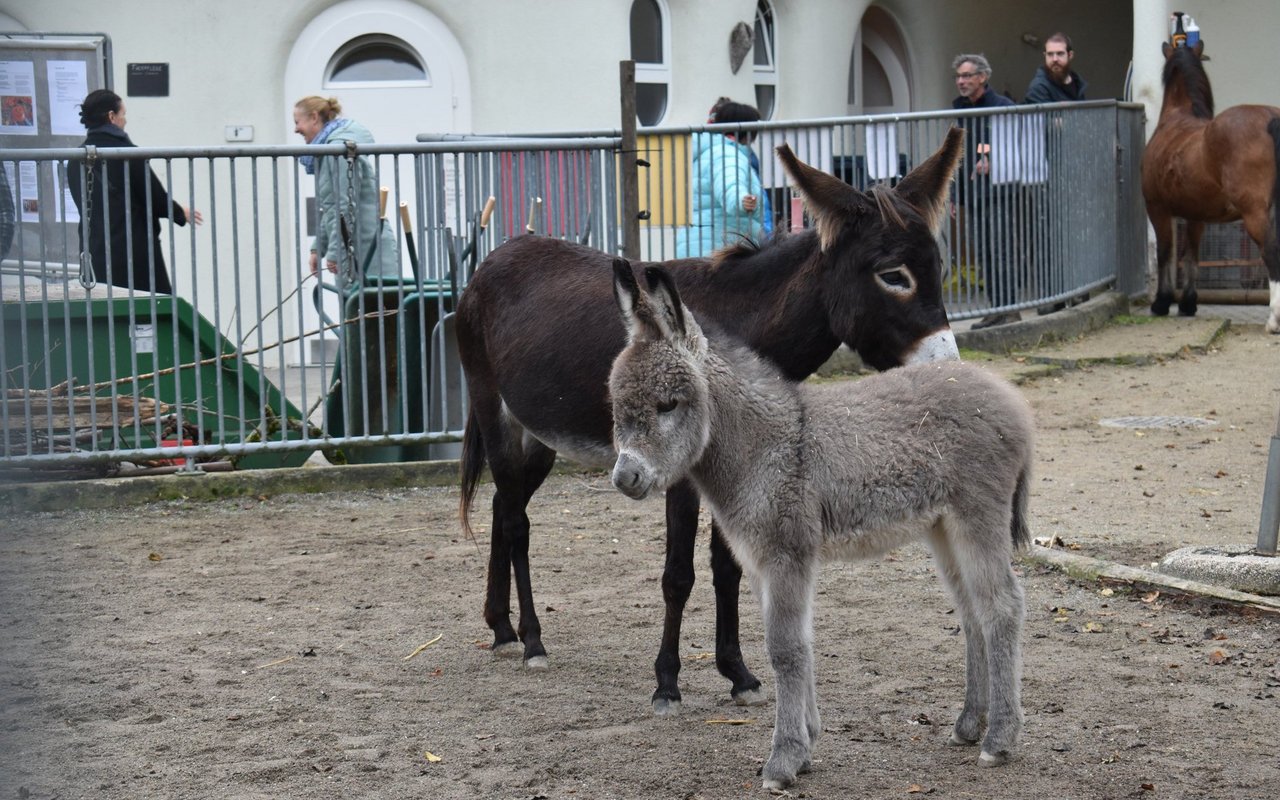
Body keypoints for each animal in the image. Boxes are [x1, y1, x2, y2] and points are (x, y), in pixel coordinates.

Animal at [604, 261, 1034, 788]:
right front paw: (807, 743)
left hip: (978, 517)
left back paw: (999, 740)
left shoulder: (787, 554)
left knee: (1003, 607)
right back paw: (969, 725)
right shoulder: (764, 562)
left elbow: (785, 648)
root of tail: (1008, 396)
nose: (625, 478)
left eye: (668, 404)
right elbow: (801, 643)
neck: (762, 446)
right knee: (973, 612)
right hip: (943, 529)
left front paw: (783, 759)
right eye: (616, 406)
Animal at [1146, 41, 1274, 330]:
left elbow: (1165, 252)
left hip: (1255, 213)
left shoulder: (1157, 209)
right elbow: (1191, 255)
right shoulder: (1197, 215)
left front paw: (1161, 302)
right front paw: (1188, 304)